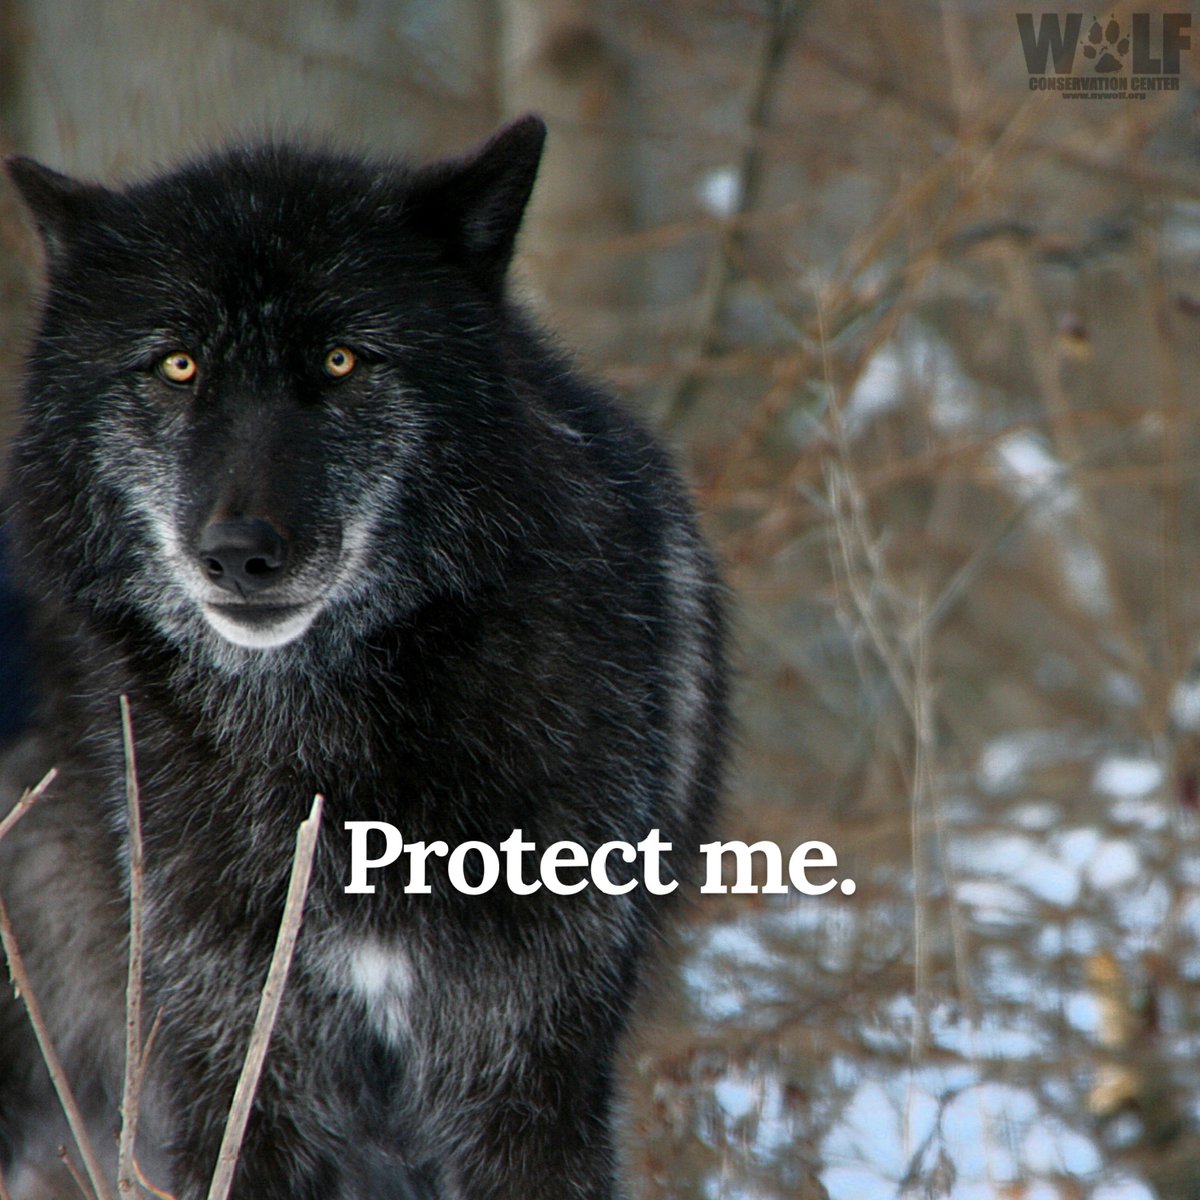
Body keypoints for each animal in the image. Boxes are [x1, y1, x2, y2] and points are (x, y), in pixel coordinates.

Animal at [0, 117, 727, 1200]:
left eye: (343, 360)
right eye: (177, 366)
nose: (240, 552)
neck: (327, 749)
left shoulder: (526, 1071)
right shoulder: (239, 1066)